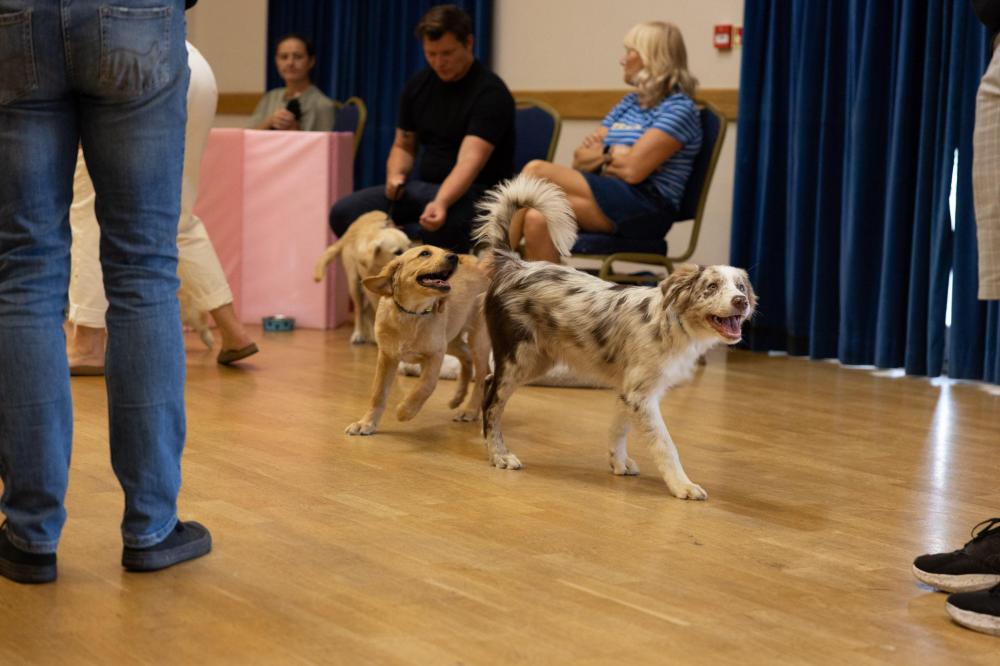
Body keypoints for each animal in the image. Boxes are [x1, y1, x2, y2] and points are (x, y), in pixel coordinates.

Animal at [310, 211, 408, 342]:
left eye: (410, 245)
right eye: (398, 252)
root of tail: (349, 231)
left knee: (366, 311)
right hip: (354, 284)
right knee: (359, 310)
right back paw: (359, 334)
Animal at [348, 245, 492, 436]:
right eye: (424, 253)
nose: (454, 257)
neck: (412, 314)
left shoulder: (435, 355)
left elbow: (424, 387)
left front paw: (405, 411)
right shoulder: (387, 356)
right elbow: (378, 393)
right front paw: (366, 423)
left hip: (477, 339)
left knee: (482, 375)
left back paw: (470, 410)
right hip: (451, 339)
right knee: (468, 360)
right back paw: (458, 398)